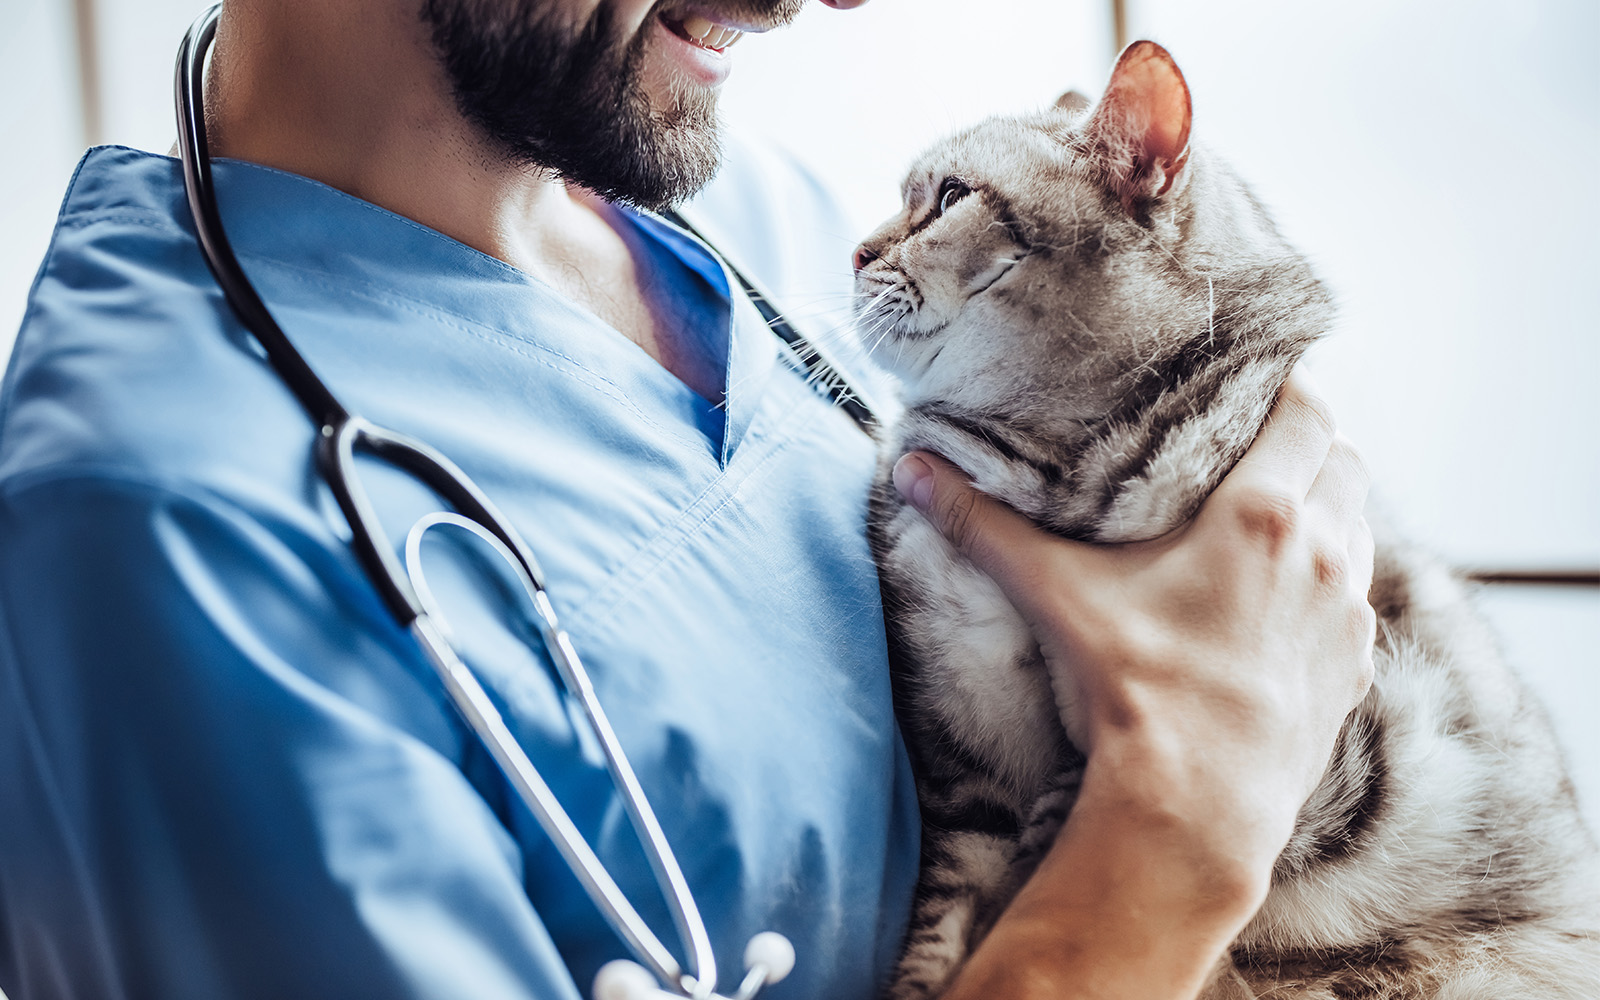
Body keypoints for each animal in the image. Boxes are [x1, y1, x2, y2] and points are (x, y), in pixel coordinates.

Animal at [864, 41, 1600, 998]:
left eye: (949, 196)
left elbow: (1057, 839)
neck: (1032, 473)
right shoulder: (962, 763)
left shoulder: (1348, 741)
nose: (856, 251)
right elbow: (945, 925)